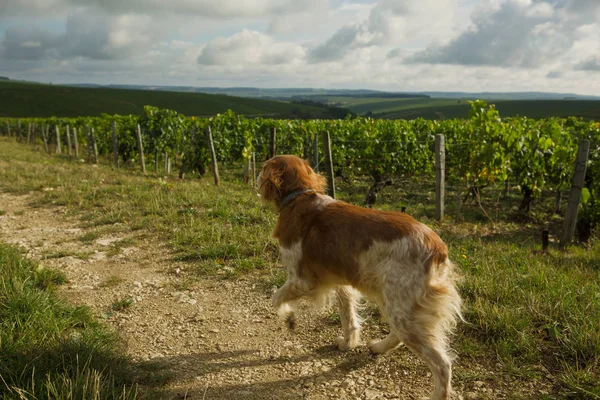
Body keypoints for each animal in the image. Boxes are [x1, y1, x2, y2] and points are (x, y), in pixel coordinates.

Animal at [258, 155, 464, 398]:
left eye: (263, 167)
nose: (257, 175)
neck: (299, 197)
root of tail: (438, 250)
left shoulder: (303, 281)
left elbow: (276, 298)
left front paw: (289, 318)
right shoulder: (341, 283)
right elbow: (349, 317)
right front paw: (349, 343)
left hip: (402, 308)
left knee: (442, 365)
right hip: (396, 304)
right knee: (398, 335)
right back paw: (378, 347)